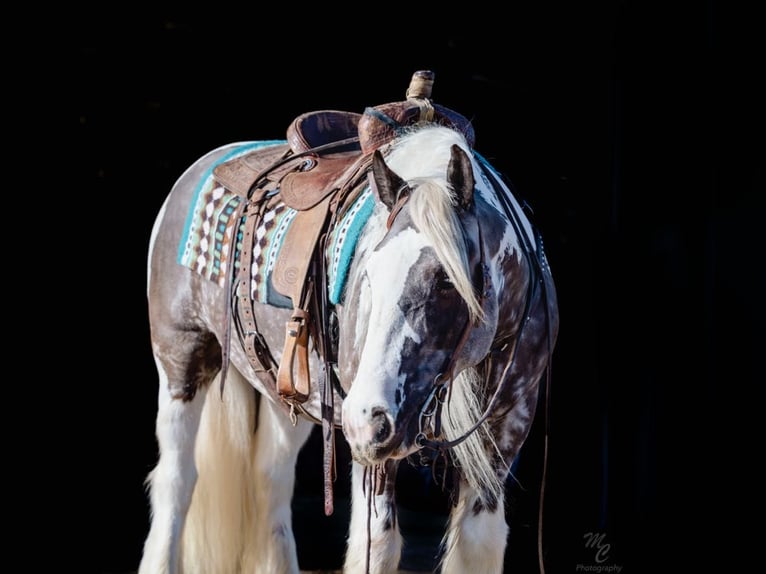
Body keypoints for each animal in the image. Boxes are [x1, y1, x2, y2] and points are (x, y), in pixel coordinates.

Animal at [139, 72, 559, 574]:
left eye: (445, 281)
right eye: (368, 274)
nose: (366, 421)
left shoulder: (506, 429)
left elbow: (478, 545)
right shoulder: (376, 454)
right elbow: (376, 545)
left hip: (289, 391)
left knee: (271, 481)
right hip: (181, 359)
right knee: (177, 481)